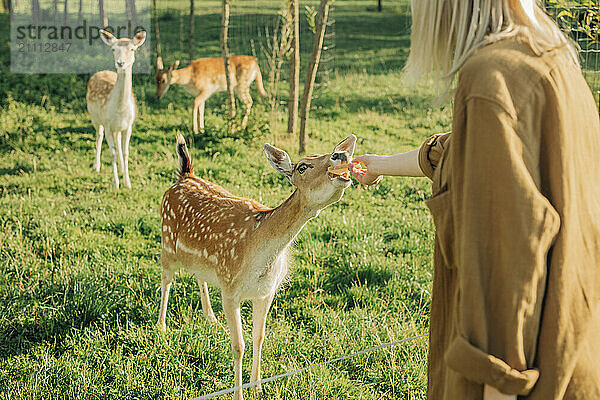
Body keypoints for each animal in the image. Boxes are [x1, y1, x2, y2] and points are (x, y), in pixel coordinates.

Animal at [86, 29, 146, 189]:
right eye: (113, 49)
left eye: (132, 49)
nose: (120, 63)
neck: (120, 109)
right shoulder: (107, 123)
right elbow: (111, 153)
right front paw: (116, 184)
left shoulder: (129, 125)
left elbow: (125, 152)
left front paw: (128, 182)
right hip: (95, 118)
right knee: (99, 136)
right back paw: (96, 166)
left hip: (117, 128)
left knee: (117, 140)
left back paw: (121, 168)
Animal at [159, 134, 356, 396]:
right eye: (302, 166)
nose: (340, 155)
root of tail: (184, 176)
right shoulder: (230, 289)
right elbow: (238, 345)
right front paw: (238, 394)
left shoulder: (265, 292)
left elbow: (259, 337)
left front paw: (258, 388)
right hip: (166, 241)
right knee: (166, 280)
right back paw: (161, 327)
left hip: (197, 259)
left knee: (198, 275)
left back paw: (210, 317)